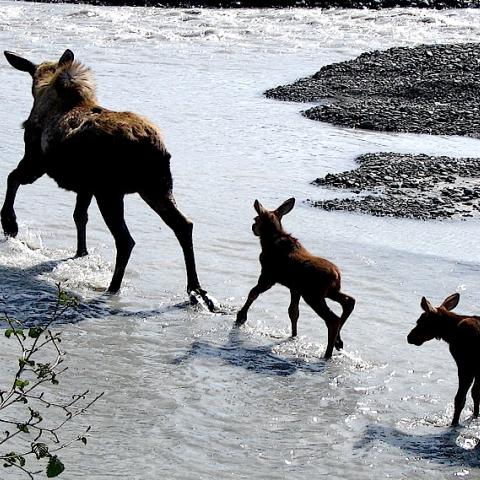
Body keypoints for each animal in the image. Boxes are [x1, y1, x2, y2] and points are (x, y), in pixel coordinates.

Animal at [0, 49, 213, 308]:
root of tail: (153, 147)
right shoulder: (84, 187)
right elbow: (79, 217)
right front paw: (81, 252)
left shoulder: (36, 162)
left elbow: (11, 178)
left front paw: (9, 224)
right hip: (156, 188)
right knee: (184, 225)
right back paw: (195, 290)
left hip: (111, 192)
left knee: (126, 240)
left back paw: (113, 288)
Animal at [237, 197, 356, 358]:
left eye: (256, 218)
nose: (253, 227)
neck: (267, 242)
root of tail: (337, 275)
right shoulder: (294, 288)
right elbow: (293, 312)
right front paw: (293, 335)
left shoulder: (268, 276)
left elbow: (253, 293)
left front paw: (241, 316)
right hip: (330, 292)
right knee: (349, 301)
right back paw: (338, 342)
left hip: (313, 295)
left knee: (333, 319)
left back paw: (327, 353)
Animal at [406, 294, 480, 426]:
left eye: (420, 321)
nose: (409, 337)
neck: (451, 334)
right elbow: (475, 393)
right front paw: (475, 415)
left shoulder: (466, 366)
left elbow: (460, 399)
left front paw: (454, 423)